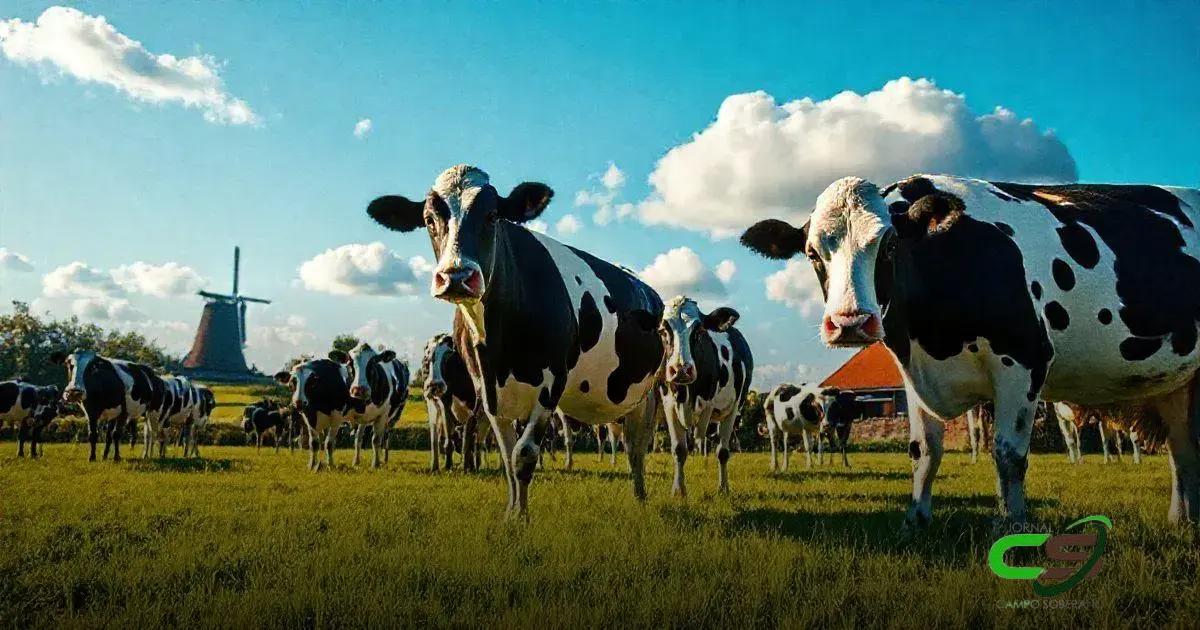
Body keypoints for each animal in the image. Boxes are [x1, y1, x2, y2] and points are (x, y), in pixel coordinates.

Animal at [422, 333, 484, 471]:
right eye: (427, 357)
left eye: (449, 356)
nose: (434, 385)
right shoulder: (444, 403)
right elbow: (449, 440)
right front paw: (447, 466)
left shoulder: (473, 408)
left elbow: (467, 441)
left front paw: (465, 468)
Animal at [657, 295, 753, 495]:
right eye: (663, 330)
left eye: (699, 330)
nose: (681, 369)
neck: (687, 394)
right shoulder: (669, 405)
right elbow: (679, 449)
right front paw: (678, 490)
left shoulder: (721, 408)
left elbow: (721, 451)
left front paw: (723, 489)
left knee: (721, 448)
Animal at [742, 174, 1200, 526]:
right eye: (812, 253)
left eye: (889, 246)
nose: (851, 322)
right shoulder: (913, 374)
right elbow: (924, 451)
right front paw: (916, 520)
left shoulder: (1025, 360)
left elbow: (1009, 455)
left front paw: (1013, 525)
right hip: (1176, 384)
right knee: (1181, 448)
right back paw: (1180, 521)